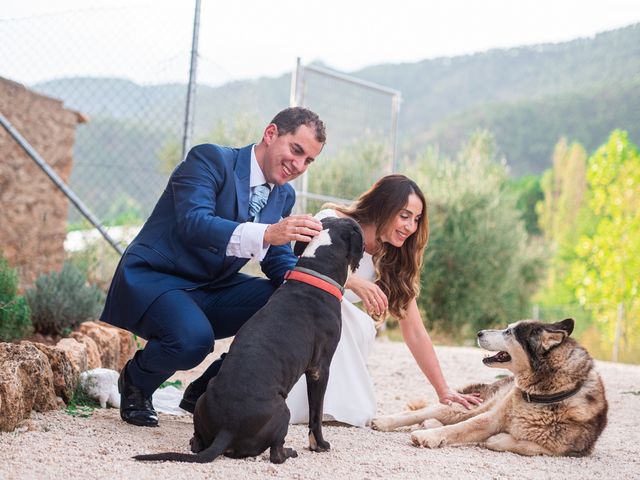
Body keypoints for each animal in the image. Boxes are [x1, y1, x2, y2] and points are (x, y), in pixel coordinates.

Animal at [134, 218, 364, 464]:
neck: (316, 273)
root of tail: (227, 429)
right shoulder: (320, 369)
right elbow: (316, 414)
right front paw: (319, 445)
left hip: (204, 400)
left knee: (197, 443)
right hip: (283, 410)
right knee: (276, 454)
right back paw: (289, 452)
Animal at [368, 318, 608, 458]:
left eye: (508, 332)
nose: (479, 332)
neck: (542, 395)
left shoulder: (566, 450)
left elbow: (527, 446)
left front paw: (497, 439)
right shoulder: (491, 417)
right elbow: (461, 428)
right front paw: (431, 436)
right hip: (469, 405)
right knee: (423, 413)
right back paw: (386, 422)